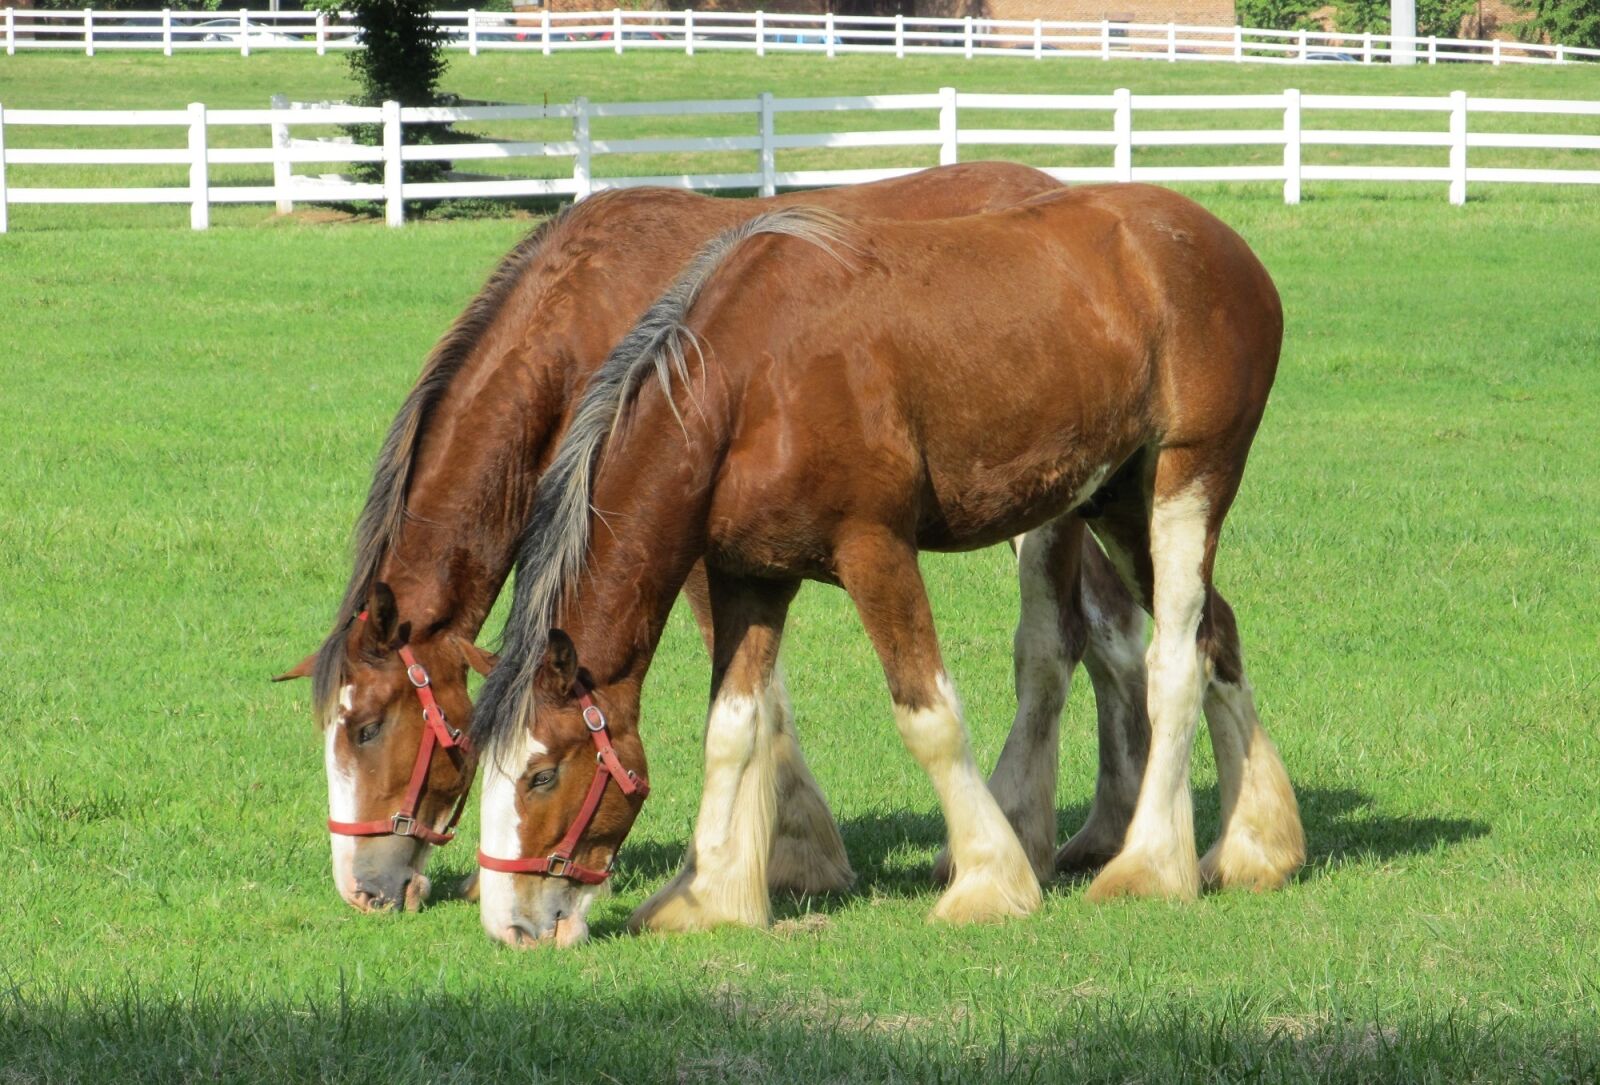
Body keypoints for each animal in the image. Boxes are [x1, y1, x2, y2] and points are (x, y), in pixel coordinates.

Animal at [272, 164, 1156, 914]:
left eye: (365, 726)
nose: (361, 885)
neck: (583, 320)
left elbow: (756, 699)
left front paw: (788, 853)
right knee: (1114, 633)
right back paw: (1111, 827)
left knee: (1072, 640)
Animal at [470, 186, 1306, 947]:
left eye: (543, 774)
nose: (511, 926)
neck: (753, 387)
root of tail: (1223, 246)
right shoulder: (751, 576)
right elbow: (733, 727)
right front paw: (708, 894)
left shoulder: (875, 550)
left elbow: (927, 714)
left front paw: (990, 879)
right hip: (1119, 501)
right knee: (1216, 635)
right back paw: (1257, 845)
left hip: (1188, 479)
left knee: (1175, 659)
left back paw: (1149, 865)